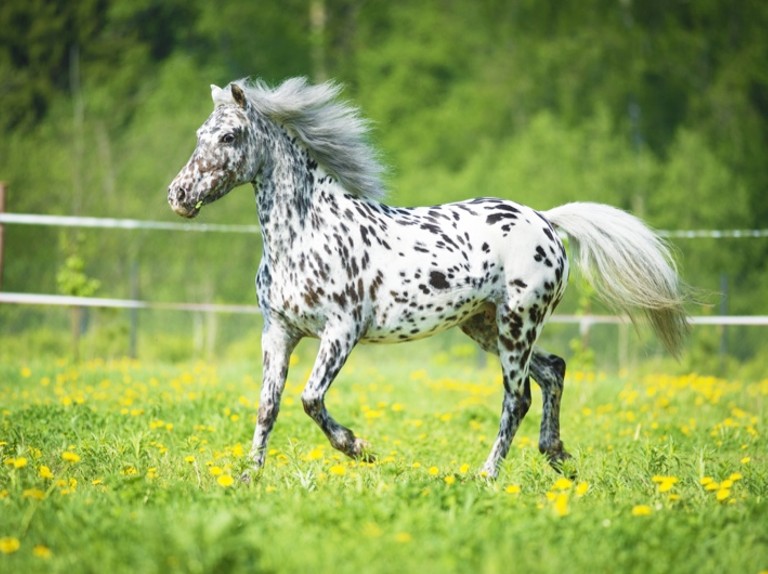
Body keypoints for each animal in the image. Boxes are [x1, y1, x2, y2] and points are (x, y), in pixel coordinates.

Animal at [168, 77, 688, 482]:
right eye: (199, 134)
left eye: (230, 136)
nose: (178, 195)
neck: (305, 233)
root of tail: (544, 220)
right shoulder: (279, 331)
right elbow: (268, 406)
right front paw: (248, 477)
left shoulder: (341, 331)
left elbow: (310, 398)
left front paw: (360, 448)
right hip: (484, 326)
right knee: (553, 370)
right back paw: (557, 456)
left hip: (517, 325)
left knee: (517, 397)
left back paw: (487, 474)